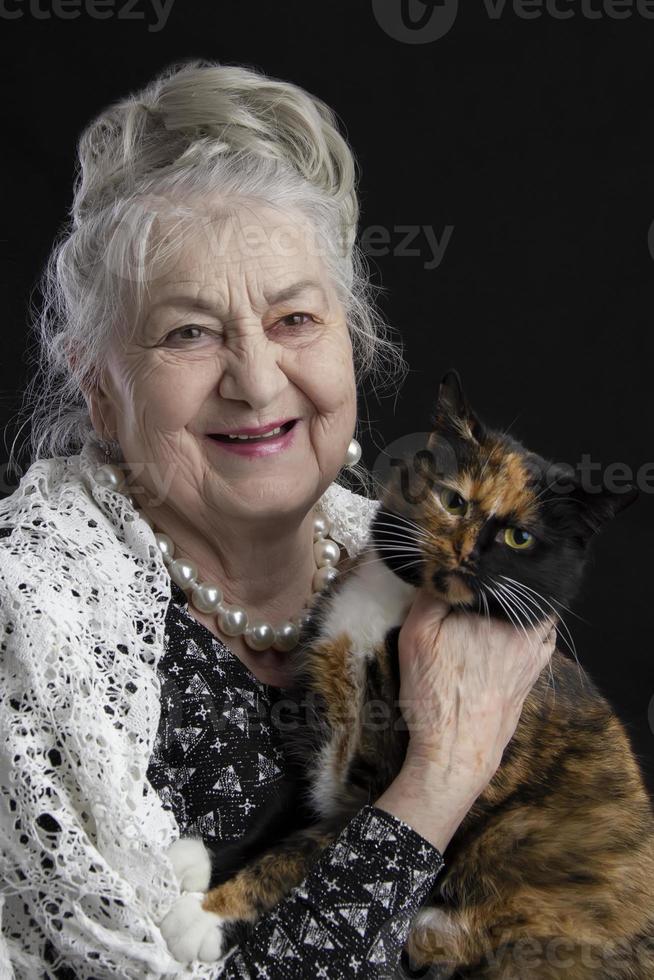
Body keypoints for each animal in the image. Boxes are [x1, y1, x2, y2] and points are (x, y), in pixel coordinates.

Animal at [165, 372, 654, 976]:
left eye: (519, 538)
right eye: (454, 500)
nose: (467, 553)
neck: (395, 604)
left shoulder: (375, 786)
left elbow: (295, 858)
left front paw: (207, 916)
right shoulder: (315, 724)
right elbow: (282, 806)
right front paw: (206, 858)